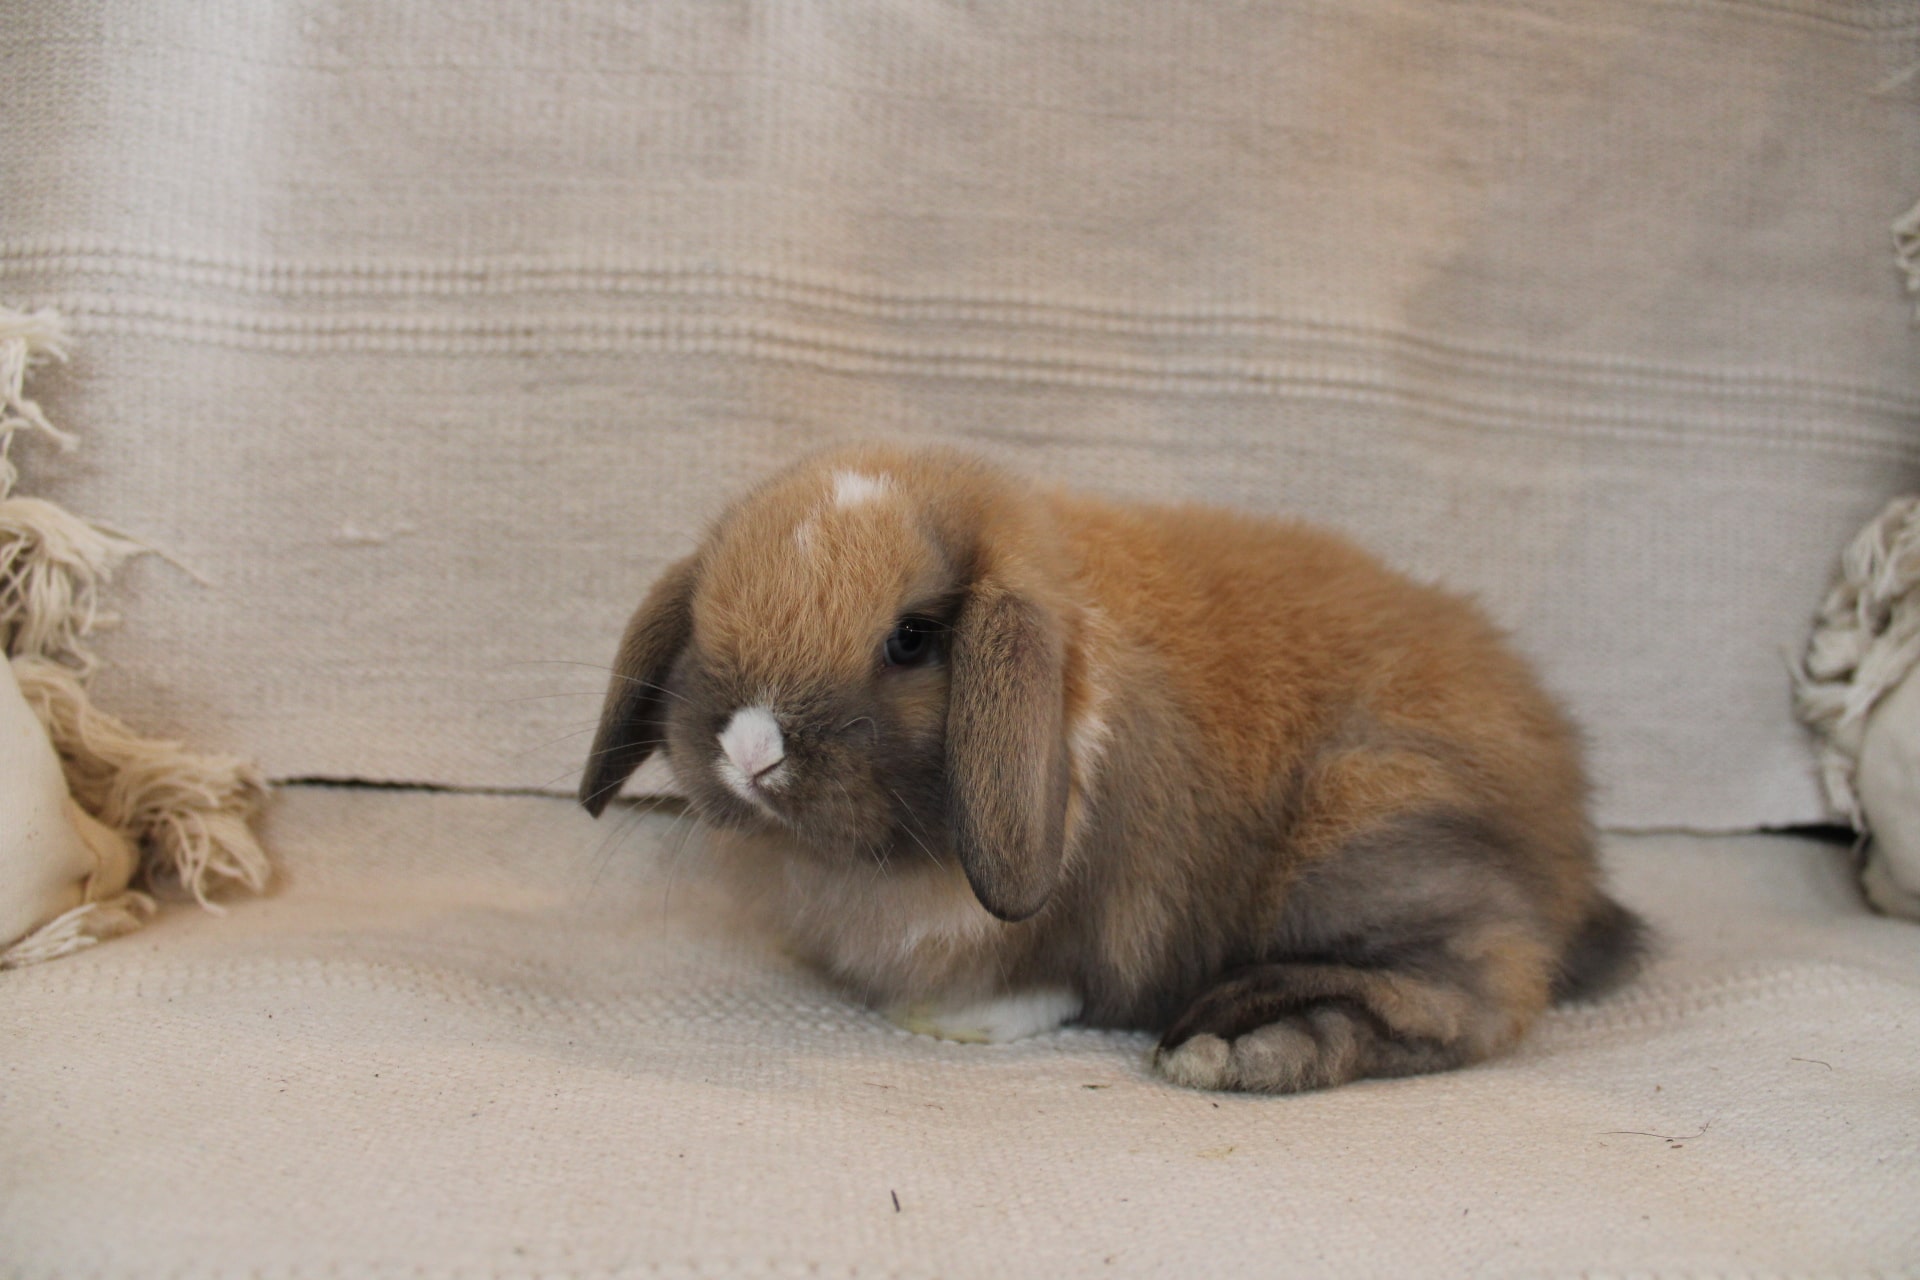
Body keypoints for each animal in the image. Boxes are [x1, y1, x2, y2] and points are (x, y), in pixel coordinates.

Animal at [578, 444, 1645, 1093]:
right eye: (710, 604)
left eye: (911, 638)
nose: (751, 749)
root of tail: (1569, 851)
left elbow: (1047, 979)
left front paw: (959, 1024)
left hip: (1372, 843)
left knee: (1474, 992)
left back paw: (1236, 1048)